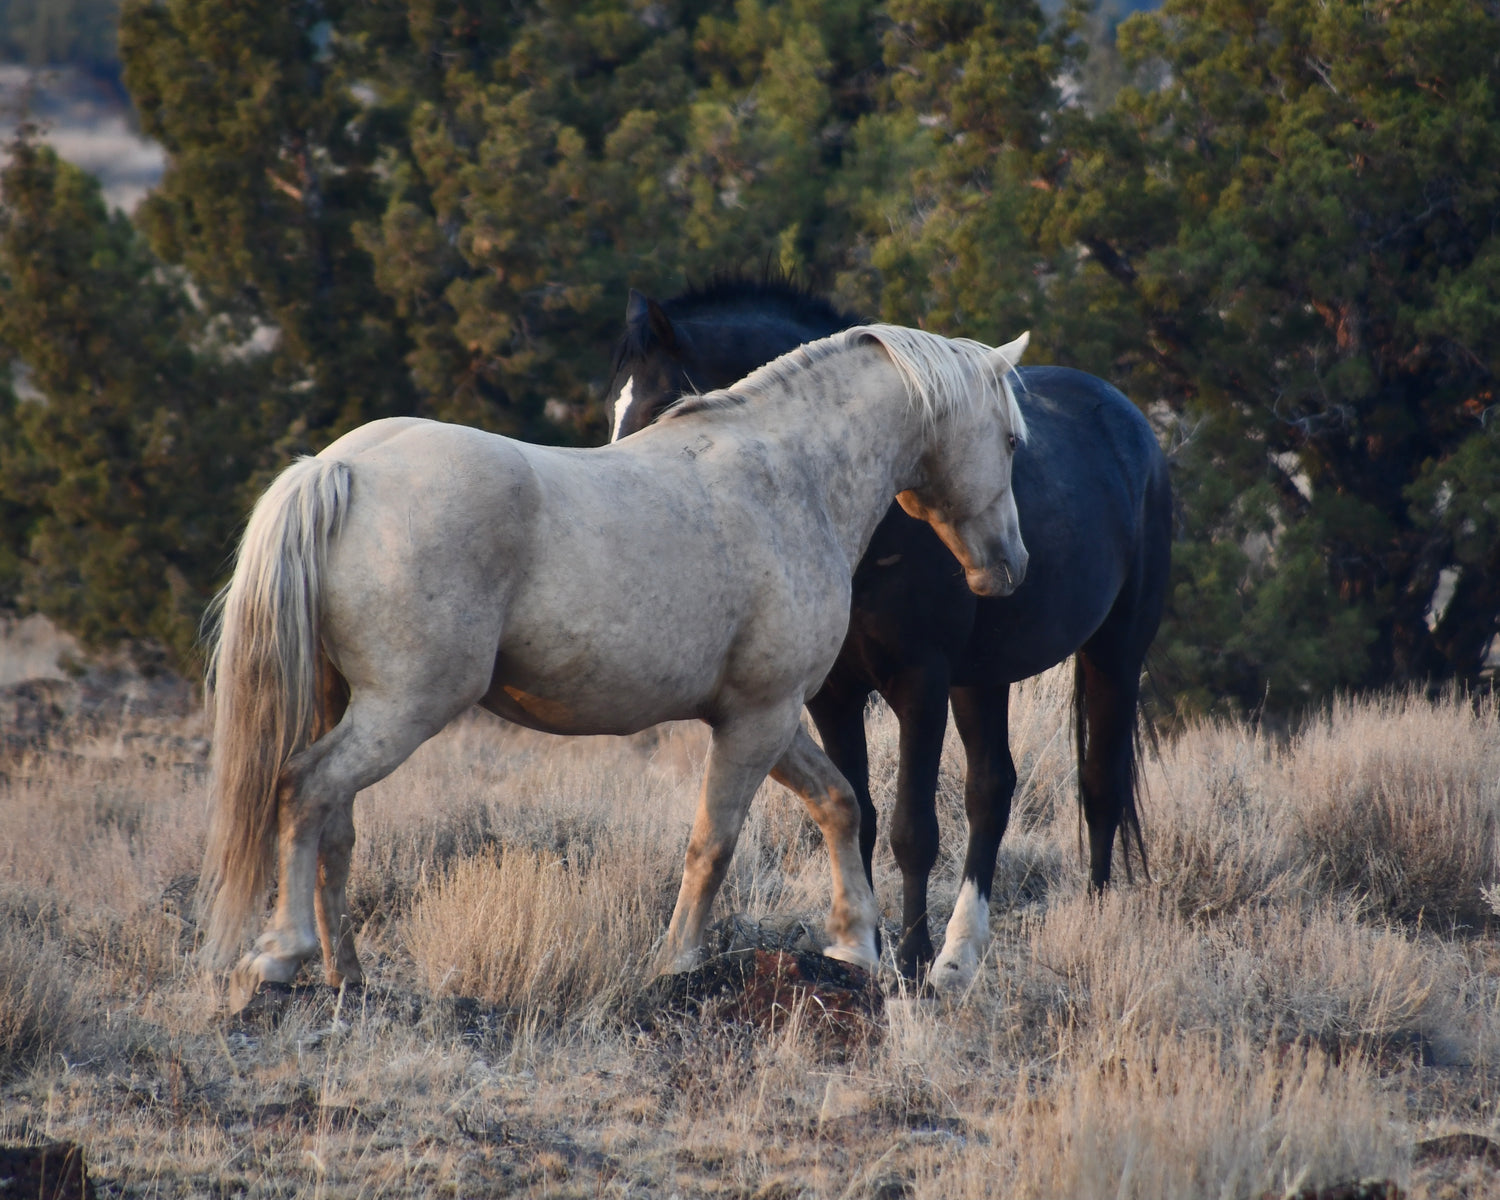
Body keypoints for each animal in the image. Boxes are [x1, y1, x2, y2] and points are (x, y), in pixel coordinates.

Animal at [202, 321, 1032, 1002]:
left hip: (347, 702)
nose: (1010, 566)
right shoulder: (758, 718)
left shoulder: (768, 715)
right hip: (403, 707)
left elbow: (838, 804)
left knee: (335, 823)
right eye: (1012, 441)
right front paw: (678, 961)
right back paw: (280, 955)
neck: (790, 475)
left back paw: (347, 974)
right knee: (307, 788)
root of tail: (342, 468)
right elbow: (714, 840)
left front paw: (855, 944)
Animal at [606, 279, 1170, 984]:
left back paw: (1083, 920)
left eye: (663, 408)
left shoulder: (919, 685)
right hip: (982, 680)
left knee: (1099, 785)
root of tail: (1131, 422)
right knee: (993, 790)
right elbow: (862, 813)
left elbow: (912, 828)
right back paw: (961, 954)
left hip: (1113, 655)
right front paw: (865, 950)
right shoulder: (835, 696)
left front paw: (910, 956)